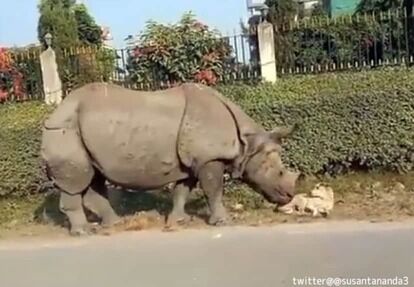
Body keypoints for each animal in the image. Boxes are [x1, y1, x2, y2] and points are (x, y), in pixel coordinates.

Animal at [40, 81, 300, 236]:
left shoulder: (193, 162)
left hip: (80, 131)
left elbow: (182, 190)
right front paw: (223, 222)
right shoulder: (209, 159)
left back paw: (114, 224)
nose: (289, 196)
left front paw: (178, 221)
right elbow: (214, 191)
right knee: (77, 182)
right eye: (278, 172)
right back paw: (83, 232)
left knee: (93, 178)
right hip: (65, 131)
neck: (246, 143)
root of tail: (54, 113)